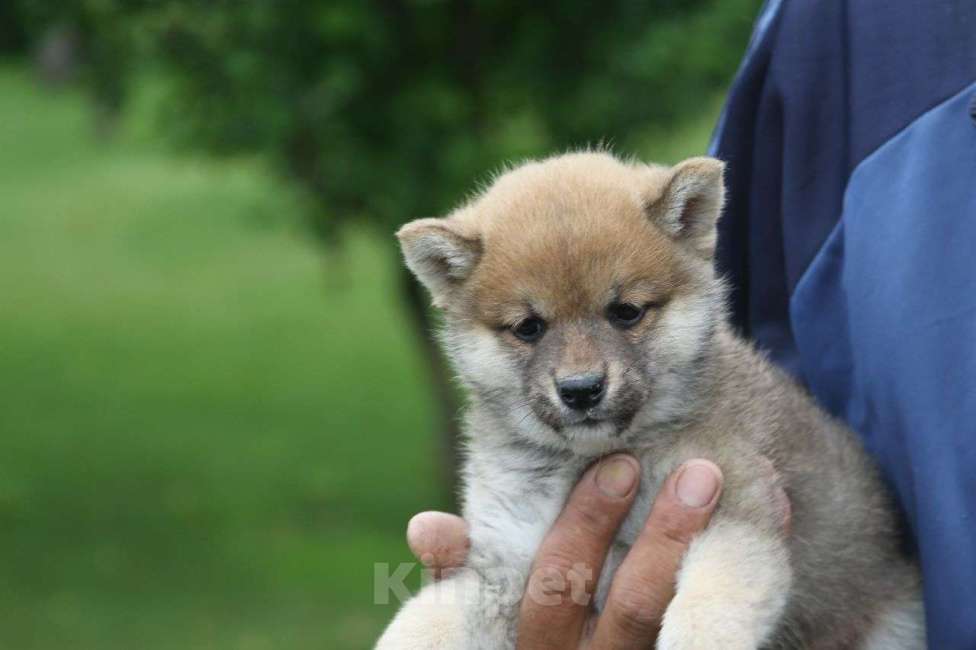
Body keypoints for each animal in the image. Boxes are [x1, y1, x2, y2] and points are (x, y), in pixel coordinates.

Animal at [376, 153, 924, 648]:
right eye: (529, 328)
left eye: (626, 312)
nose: (581, 389)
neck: (587, 461)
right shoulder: (505, 561)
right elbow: (424, 619)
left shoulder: (734, 511)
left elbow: (706, 611)